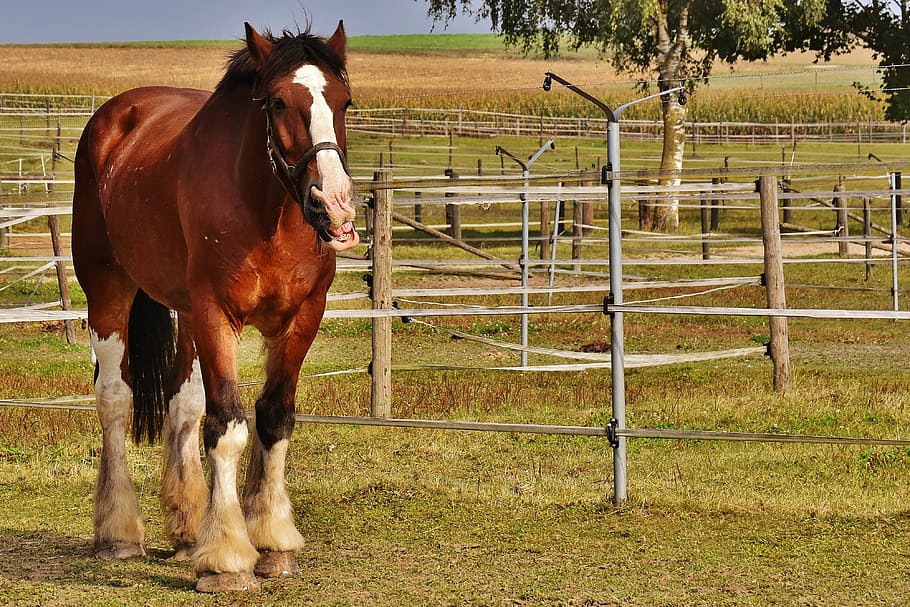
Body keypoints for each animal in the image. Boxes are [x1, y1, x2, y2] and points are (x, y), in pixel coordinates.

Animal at [70, 21, 360, 592]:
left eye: (343, 100)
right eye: (277, 101)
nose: (333, 203)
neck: (266, 210)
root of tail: (115, 117)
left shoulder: (302, 319)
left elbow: (273, 419)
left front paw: (271, 542)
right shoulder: (215, 315)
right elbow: (227, 426)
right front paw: (227, 557)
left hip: (182, 314)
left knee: (181, 406)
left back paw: (187, 529)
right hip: (108, 292)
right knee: (114, 400)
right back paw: (118, 533)